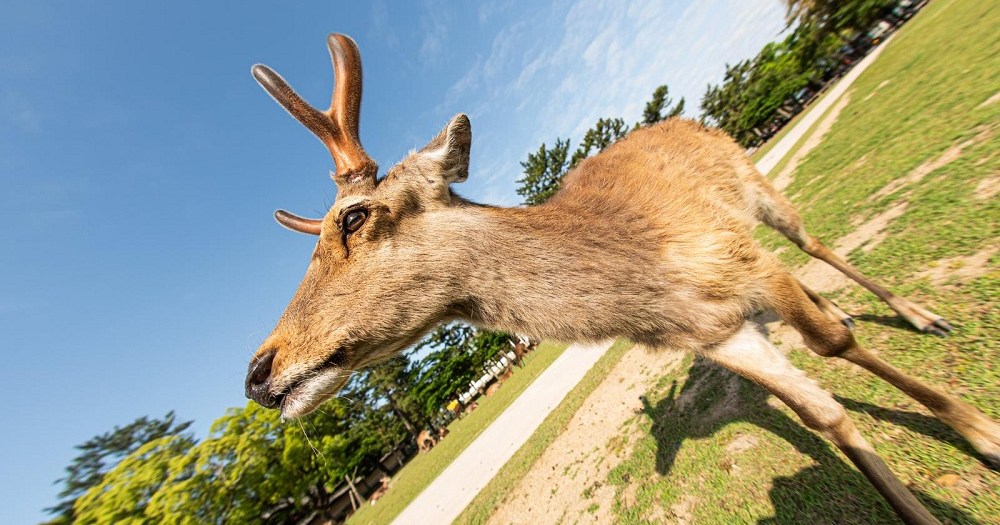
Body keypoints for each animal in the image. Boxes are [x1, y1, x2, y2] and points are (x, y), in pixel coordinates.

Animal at [243, 34, 998, 524]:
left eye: (353, 217)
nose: (257, 371)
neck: (648, 284)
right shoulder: (714, 333)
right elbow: (823, 411)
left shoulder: (738, 257)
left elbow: (835, 349)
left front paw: (979, 431)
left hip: (756, 187)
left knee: (814, 243)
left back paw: (920, 315)